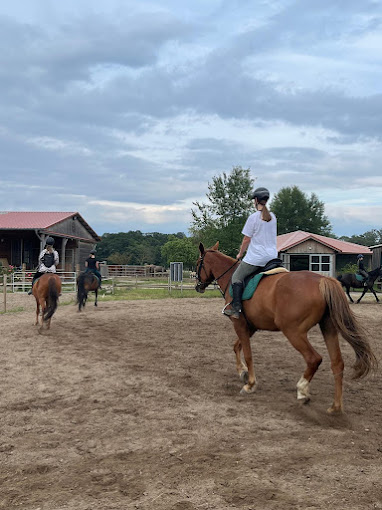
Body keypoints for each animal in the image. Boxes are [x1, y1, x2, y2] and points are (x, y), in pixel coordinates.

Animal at [195, 243, 378, 414]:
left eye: (198, 263)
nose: (198, 286)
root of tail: (322, 280)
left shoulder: (239, 323)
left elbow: (248, 354)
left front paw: (250, 384)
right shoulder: (251, 326)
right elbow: (236, 346)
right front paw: (243, 372)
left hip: (293, 332)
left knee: (314, 359)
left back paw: (302, 390)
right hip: (328, 328)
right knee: (337, 363)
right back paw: (335, 407)